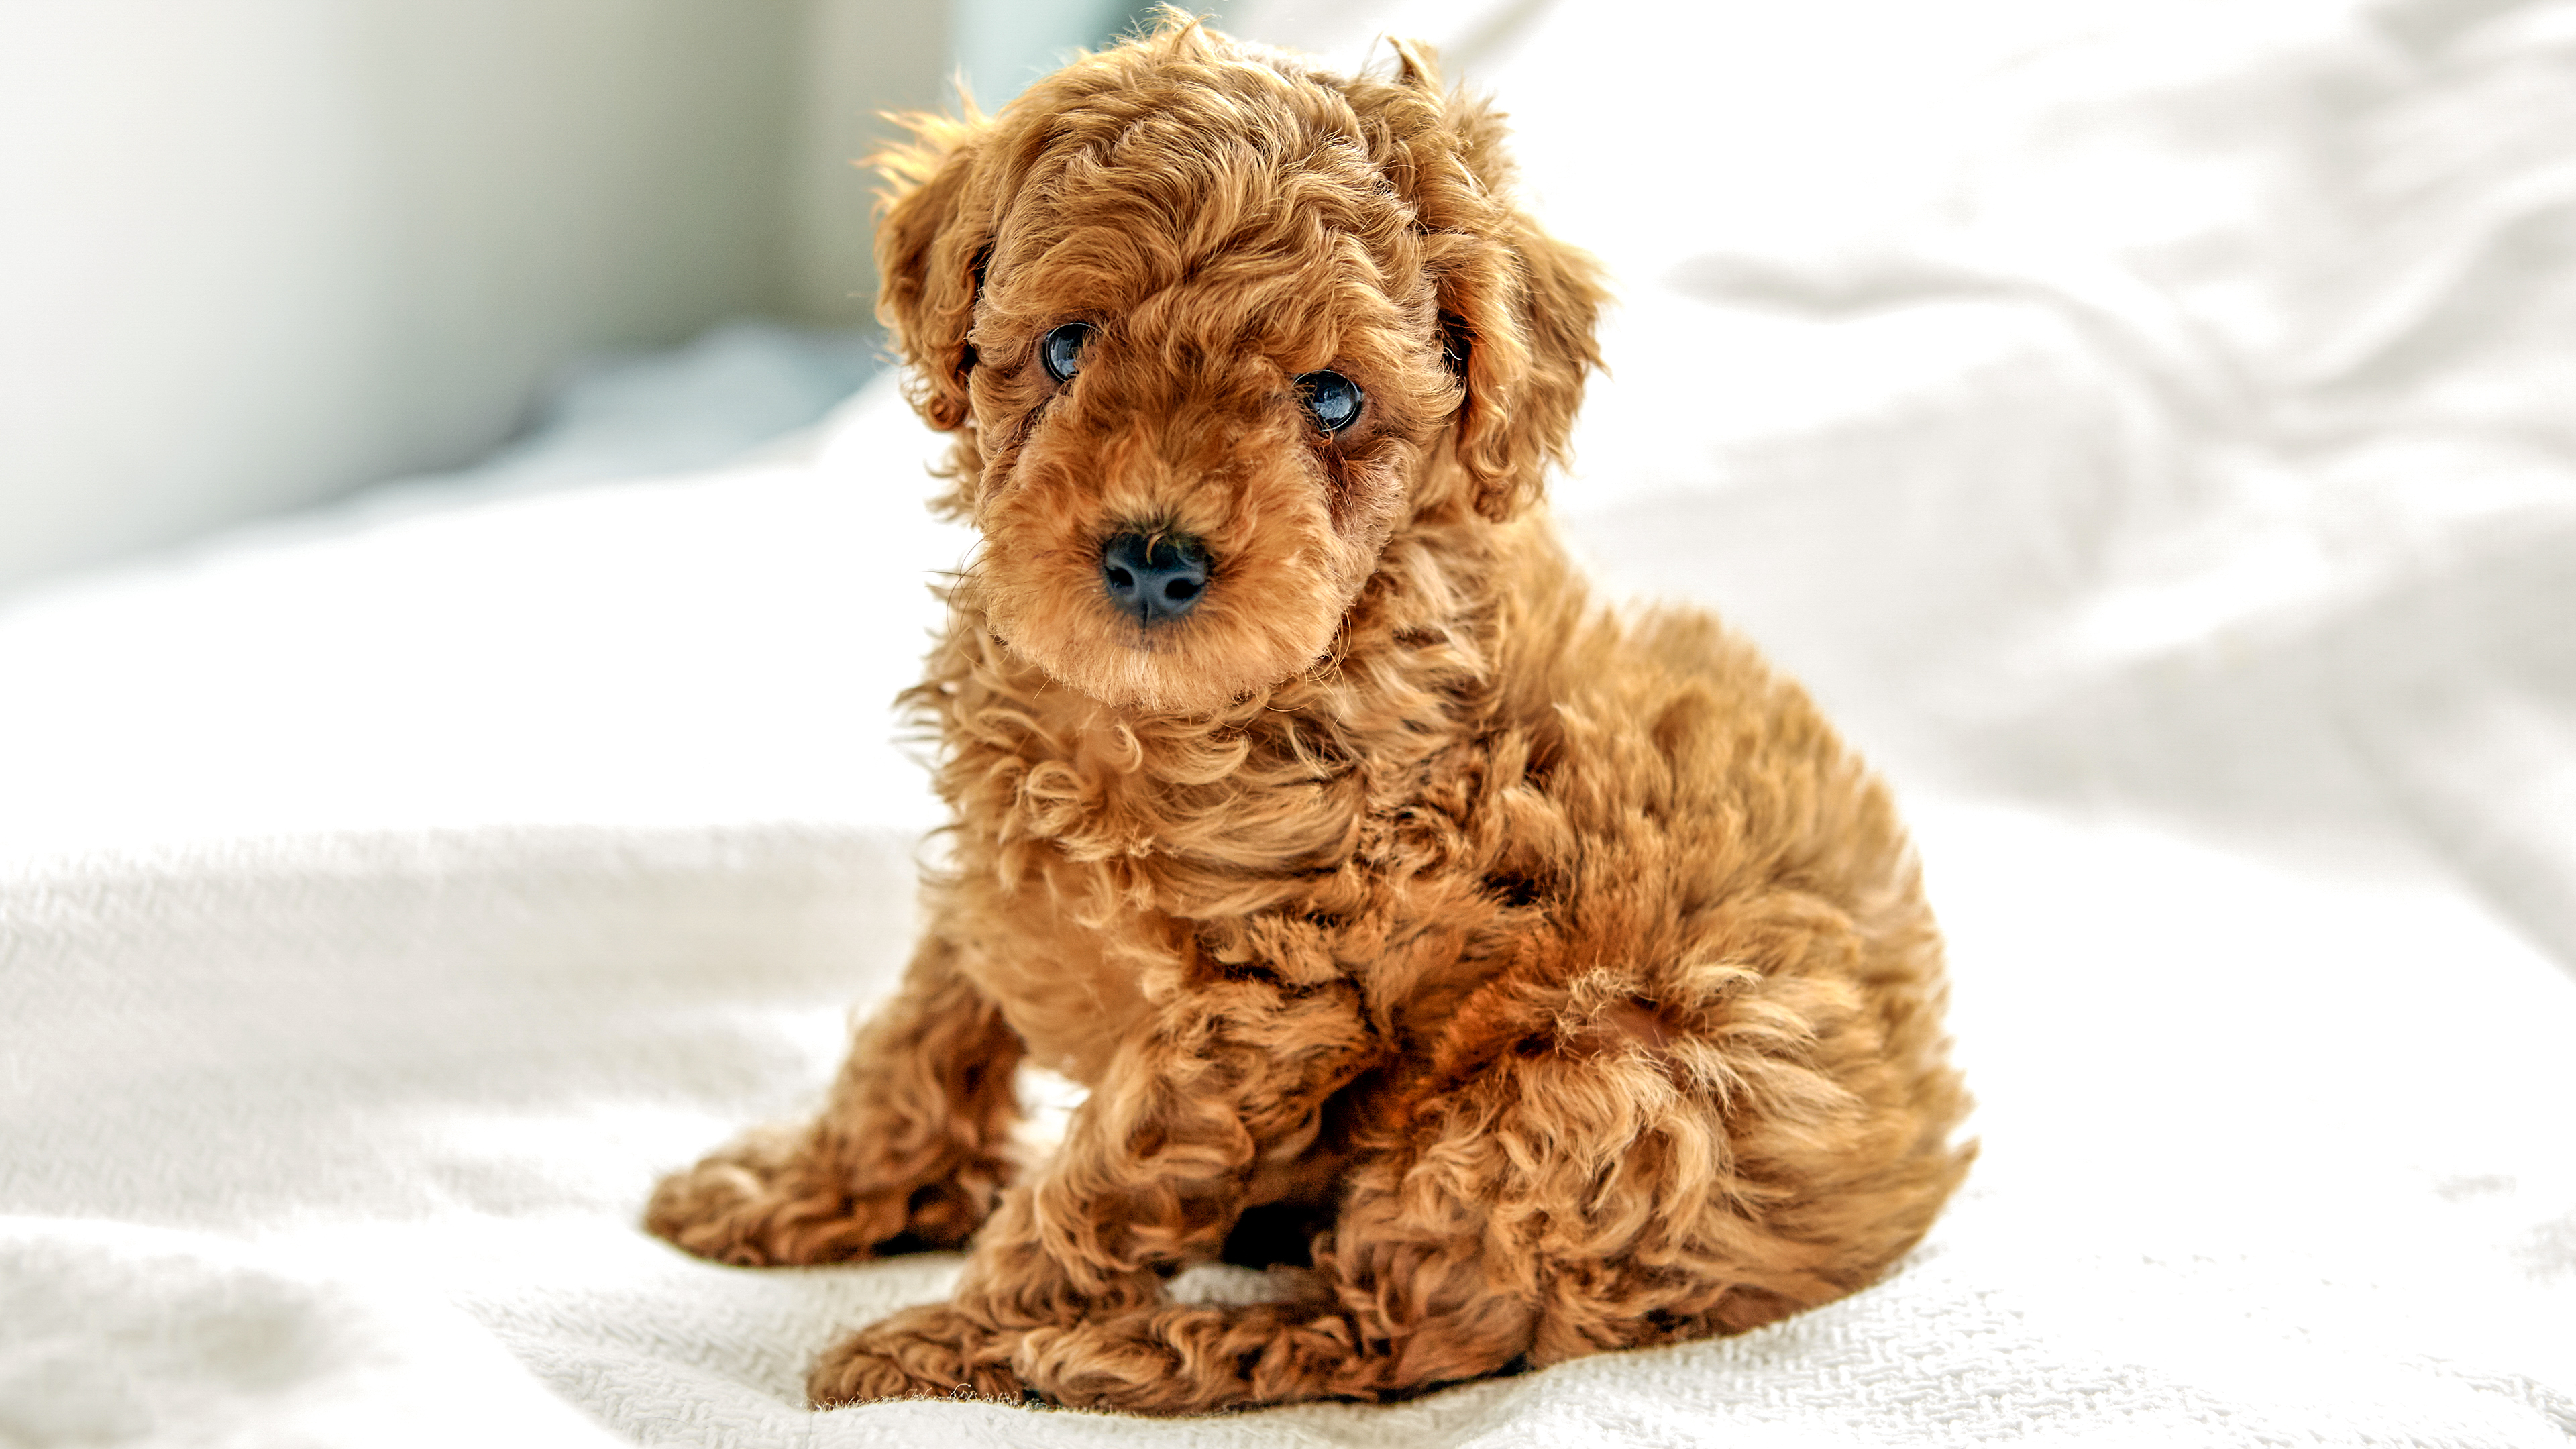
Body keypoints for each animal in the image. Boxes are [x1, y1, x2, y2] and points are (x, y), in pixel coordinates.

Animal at [649, 11, 1968, 1413]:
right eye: (1066, 348)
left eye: (1331, 398)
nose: (1153, 560)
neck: (1160, 718)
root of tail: (1893, 1205)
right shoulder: (998, 873)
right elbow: (915, 1042)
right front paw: (806, 1188)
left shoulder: (1275, 997)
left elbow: (1098, 1185)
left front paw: (950, 1342)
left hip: (1595, 1095)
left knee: (1407, 1330)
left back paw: (1135, 1350)